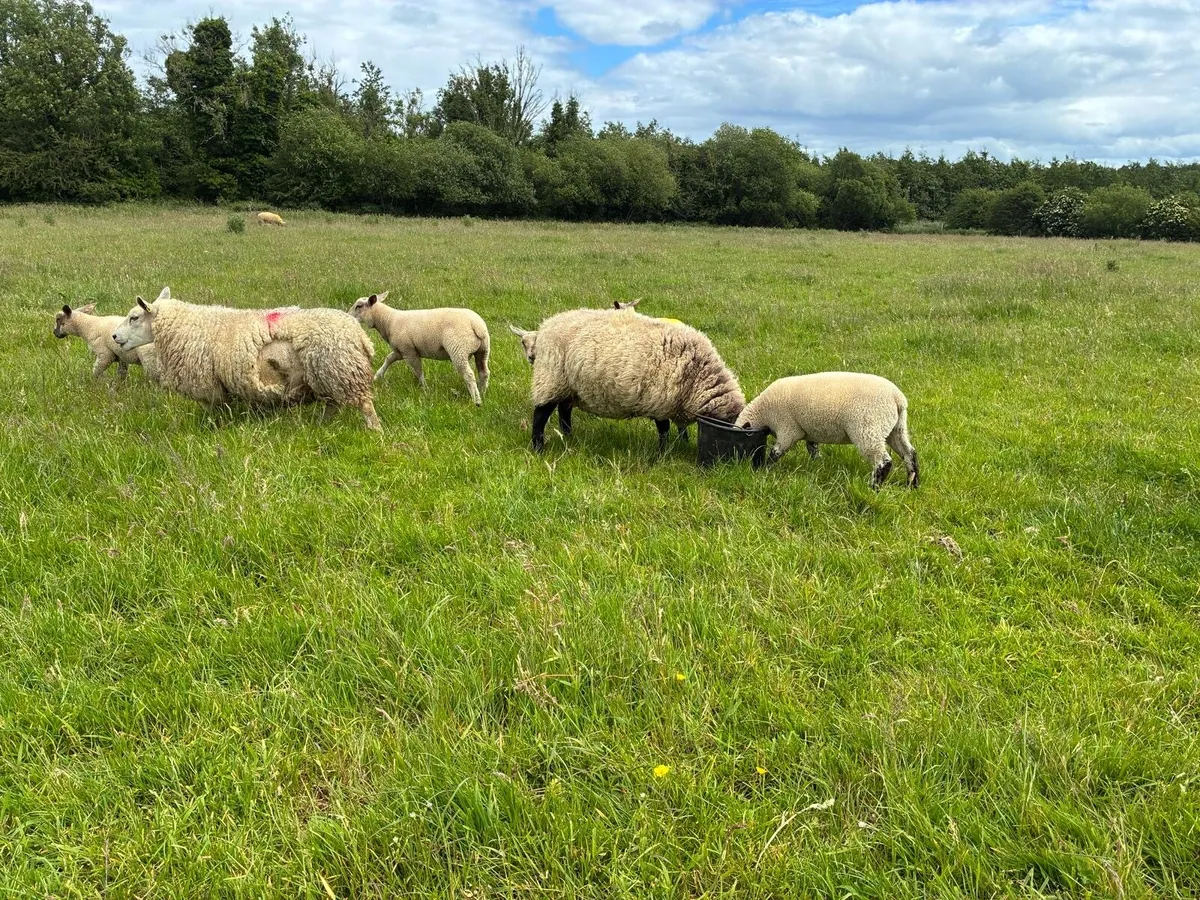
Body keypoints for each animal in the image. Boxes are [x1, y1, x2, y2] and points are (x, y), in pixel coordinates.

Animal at [112, 287, 381, 430]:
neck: (188, 326)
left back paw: (374, 431)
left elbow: (214, 413)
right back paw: (321, 426)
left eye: (134, 317)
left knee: (365, 406)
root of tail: (359, 334)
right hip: (326, 376)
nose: (114, 336)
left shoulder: (209, 386)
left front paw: (213, 429)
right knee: (332, 405)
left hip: (342, 370)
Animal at [349, 291, 490, 406]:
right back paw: (482, 392)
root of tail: (477, 325)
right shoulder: (400, 350)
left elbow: (418, 370)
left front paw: (425, 389)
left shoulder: (409, 351)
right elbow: (389, 359)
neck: (388, 321)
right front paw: (377, 376)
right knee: (484, 372)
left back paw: (476, 400)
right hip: (483, 351)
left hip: (459, 350)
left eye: (359, 306)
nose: (348, 316)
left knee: (469, 375)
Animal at [510, 308, 745, 453]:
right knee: (541, 413)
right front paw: (663, 452)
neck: (697, 375)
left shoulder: (676, 401)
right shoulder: (660, 400)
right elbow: (664, 429)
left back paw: (568, 437)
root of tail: (547, 325)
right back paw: (538, 448)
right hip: (551, 376)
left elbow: (680, 428)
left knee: (564, 410)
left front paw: (682, 443)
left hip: (571, 384)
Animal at [734, 372, 919, 489]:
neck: (763, 412)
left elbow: (776, 452)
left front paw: (764, 470)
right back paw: (912, 484)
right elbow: (812, 448)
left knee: (883, 461)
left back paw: (873, 487)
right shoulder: (809, 431)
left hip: (868, 428)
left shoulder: (788, 429)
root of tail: (898, 399)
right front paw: (818, 464)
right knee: (909, 453)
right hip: (896, 428)